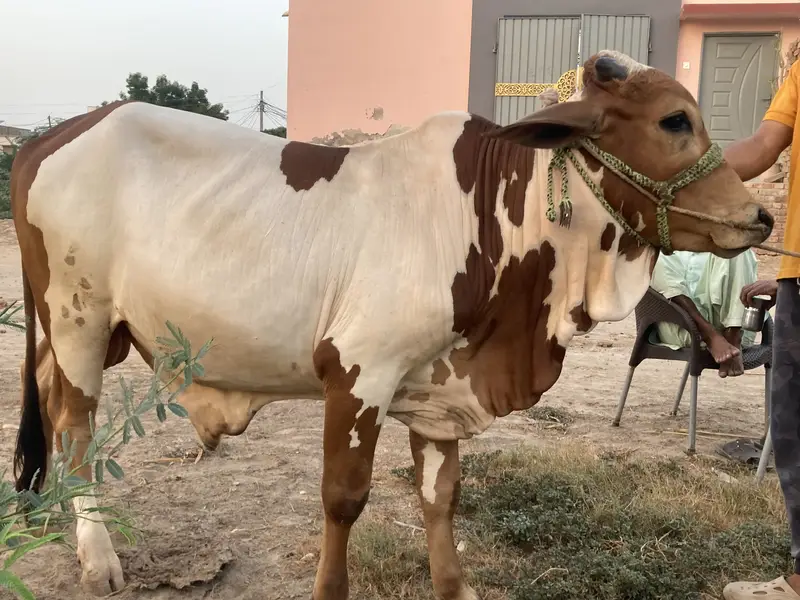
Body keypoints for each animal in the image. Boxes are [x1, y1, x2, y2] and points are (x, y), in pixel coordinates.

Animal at [10, 50, 772, 600]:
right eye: (674, 120)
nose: (760, 217)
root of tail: (50, 137)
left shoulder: (440, 384)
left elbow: (440, 496)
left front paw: (455, 587)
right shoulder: (357, 372)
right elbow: (344, 499)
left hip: (80, 332)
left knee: (46, 399)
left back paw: (40, 513)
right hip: (79, 322)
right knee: (74, 427)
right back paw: (96, 556)